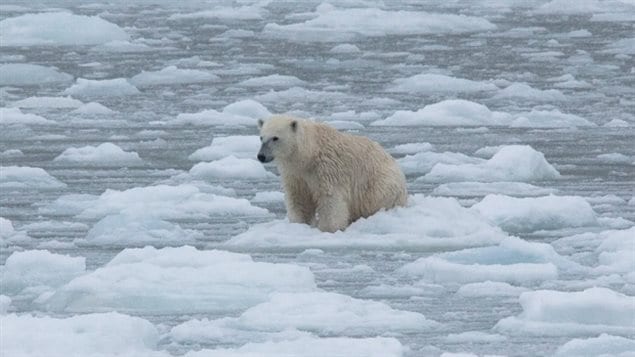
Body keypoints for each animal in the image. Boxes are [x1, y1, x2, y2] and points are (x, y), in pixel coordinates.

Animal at [258, 114, 408, 231]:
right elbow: (299, 197)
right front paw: (299, 224)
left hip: (380, 183)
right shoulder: (295, 173)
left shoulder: (327, 168)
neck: (309, 154)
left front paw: (328, 228)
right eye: (261, 137)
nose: (261, 156)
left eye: (275, 138)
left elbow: (330, 198)